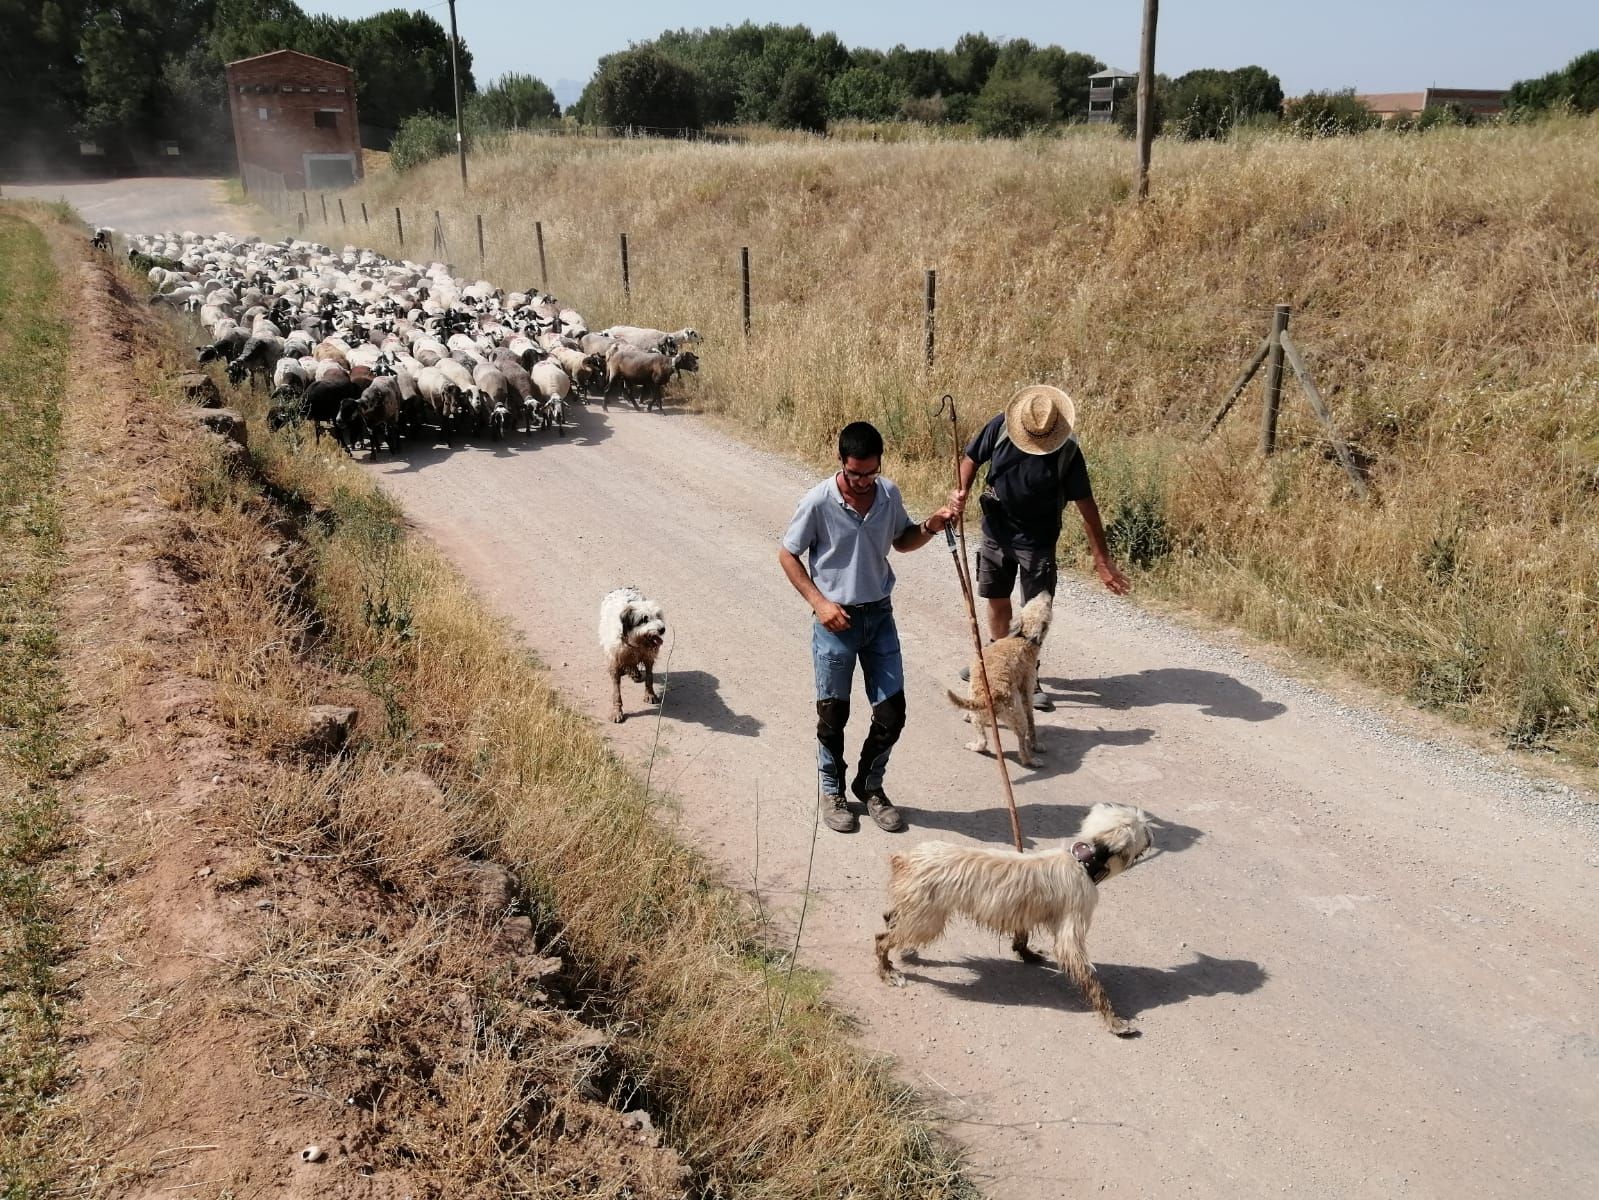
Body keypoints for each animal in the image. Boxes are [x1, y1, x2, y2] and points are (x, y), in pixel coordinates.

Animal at [601, 588, 671, 723]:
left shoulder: (648, 657)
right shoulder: (615, 659)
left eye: (658, 616)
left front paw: (650, 694)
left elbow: (649, 677)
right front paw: (617, 711)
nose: (662, 629)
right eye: (644, 619)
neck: (634, 642)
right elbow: (616, 691)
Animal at [876, 809, 1151, 1043]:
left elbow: (1022, 938)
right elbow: (1088, 976)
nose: (1152, 837)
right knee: (881, 939)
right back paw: (888, 971)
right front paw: (1114, 1021)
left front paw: (1026, 953)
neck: (1081, 861)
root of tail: (907, 859)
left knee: (890, 918)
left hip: (916, 908)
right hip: (927, 920)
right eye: (1142, 828)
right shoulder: (1071, 927)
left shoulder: (1024, 914)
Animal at [940, 595, 1055, 771]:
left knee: (985, 741)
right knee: (1014, 742)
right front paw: (1036, 744)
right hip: (1016, 716)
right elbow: (1032, 720)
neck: (1022, 639)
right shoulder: (1027, 691)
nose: (1045, 592)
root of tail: (992, 694)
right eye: (1046, 604)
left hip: (995, 714)